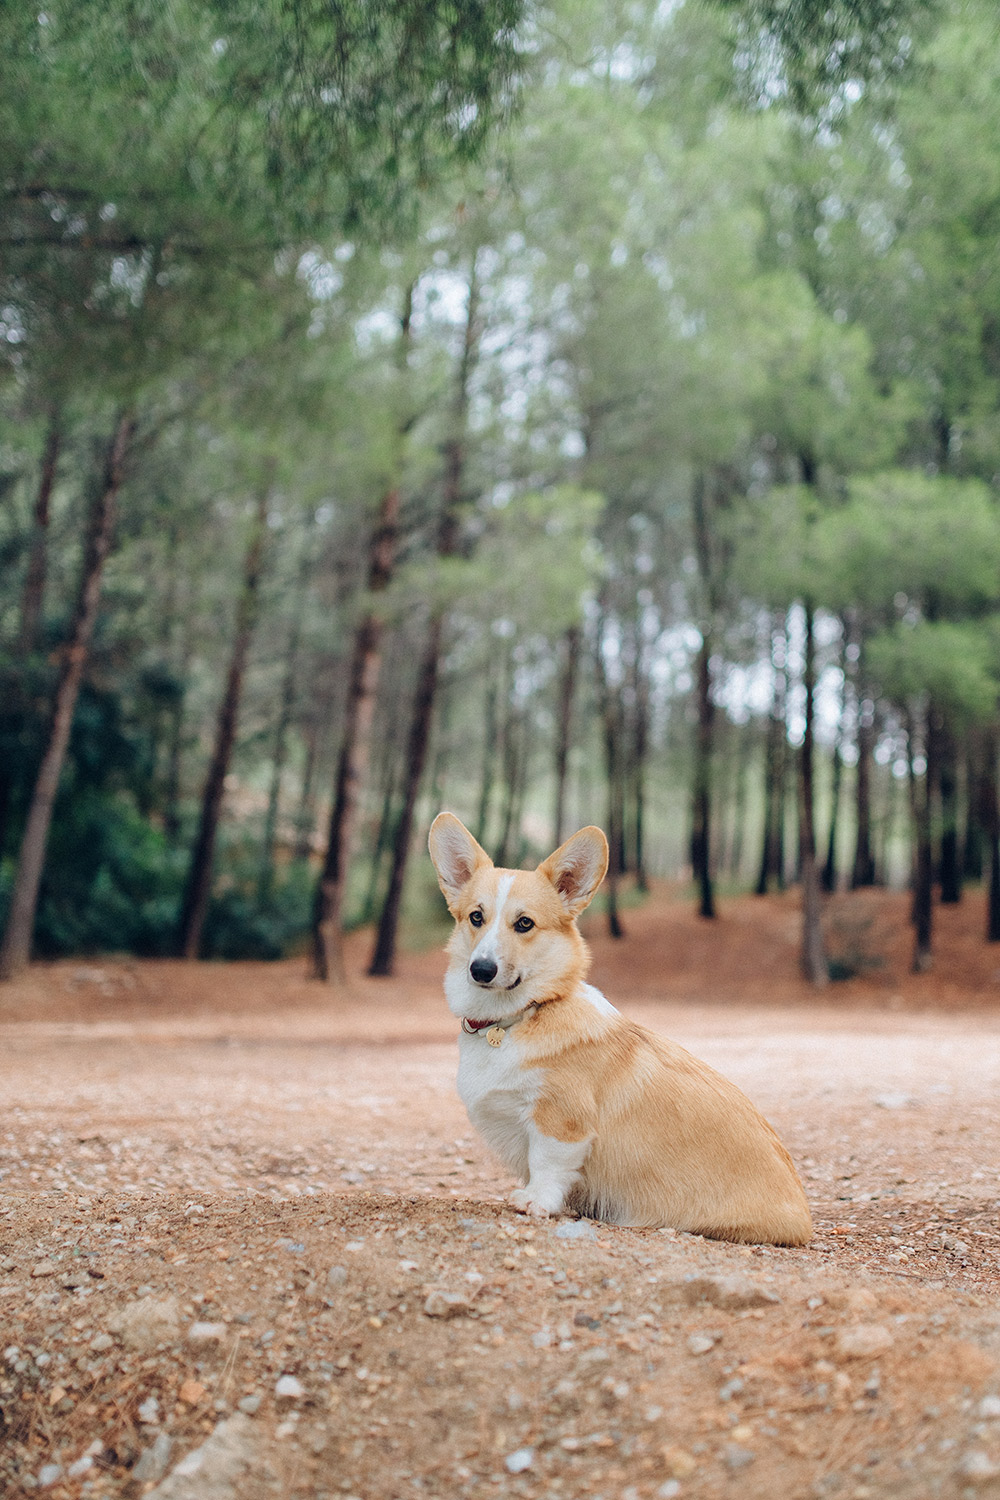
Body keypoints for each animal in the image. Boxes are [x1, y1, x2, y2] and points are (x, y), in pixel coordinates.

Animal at [428, 816, 815, 1248]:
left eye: (524, 923)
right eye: (476, 917)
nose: (481, 970)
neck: (520, 1017)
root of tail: (804, 1221)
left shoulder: (561, 1121)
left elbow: (546, 1163)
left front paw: (536, 1201)